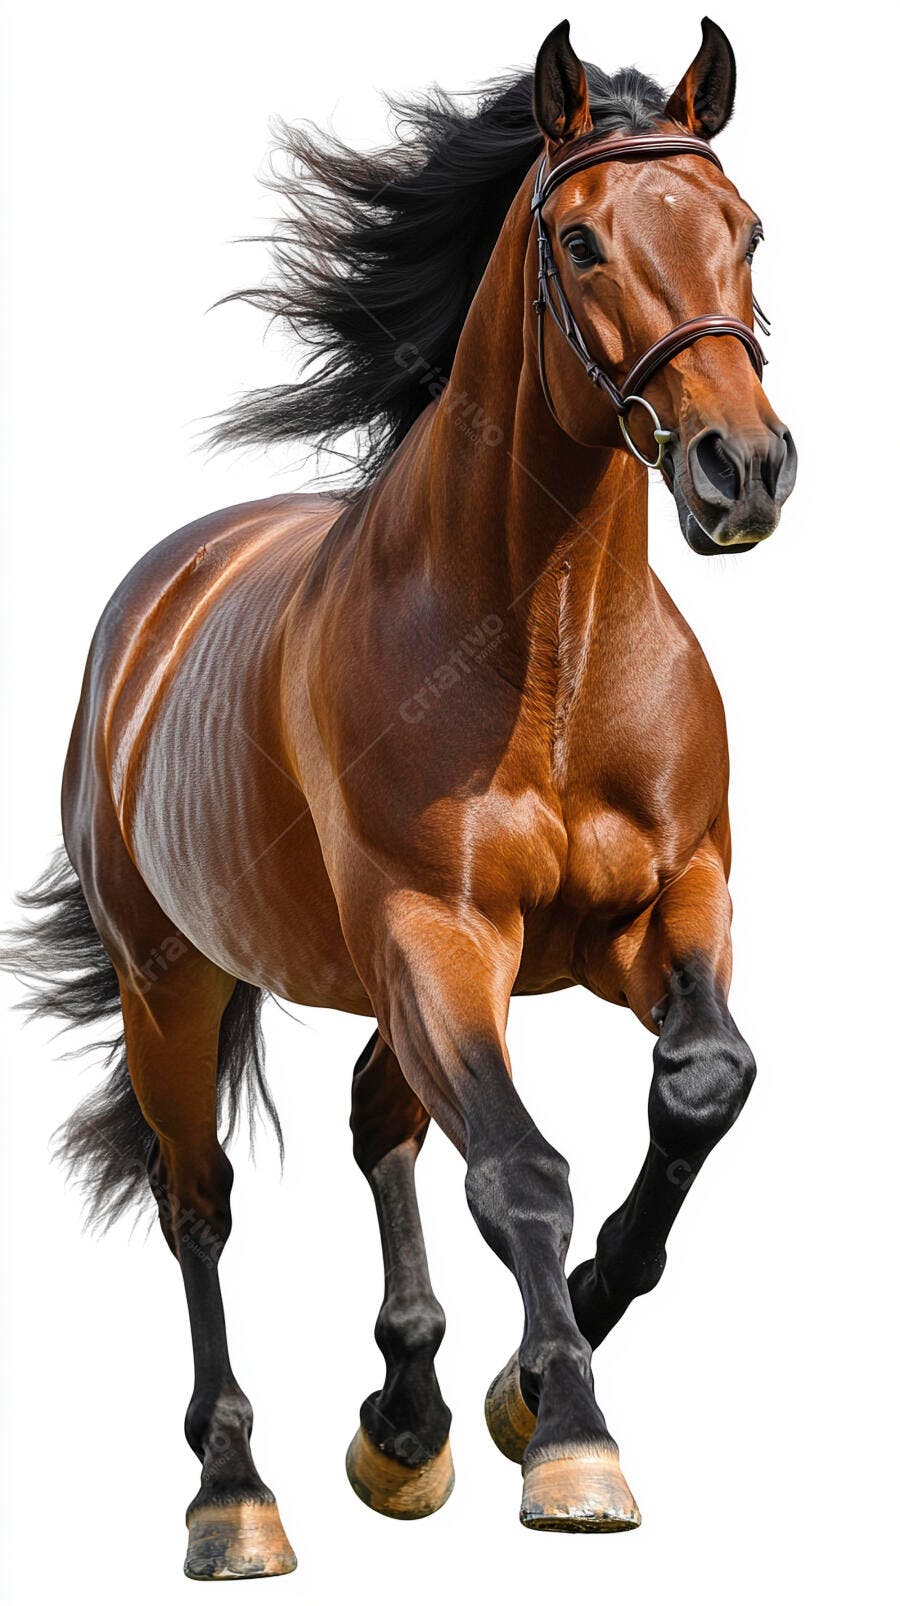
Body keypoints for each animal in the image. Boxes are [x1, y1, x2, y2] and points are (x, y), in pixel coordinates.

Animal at [3, 17, 796, 1580]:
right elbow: (523, 1171)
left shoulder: (663, 908)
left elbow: (702, 1083)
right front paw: (571, 1439)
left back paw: (409, 1418)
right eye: (581, 240)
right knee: (200, 1202)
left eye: (744, 229)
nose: (742, 468)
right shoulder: (440, 934)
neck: (544, 644)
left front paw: (521, 1377)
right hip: (172, 980)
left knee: (382, 1124)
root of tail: (154, 609)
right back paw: (235, 1497)